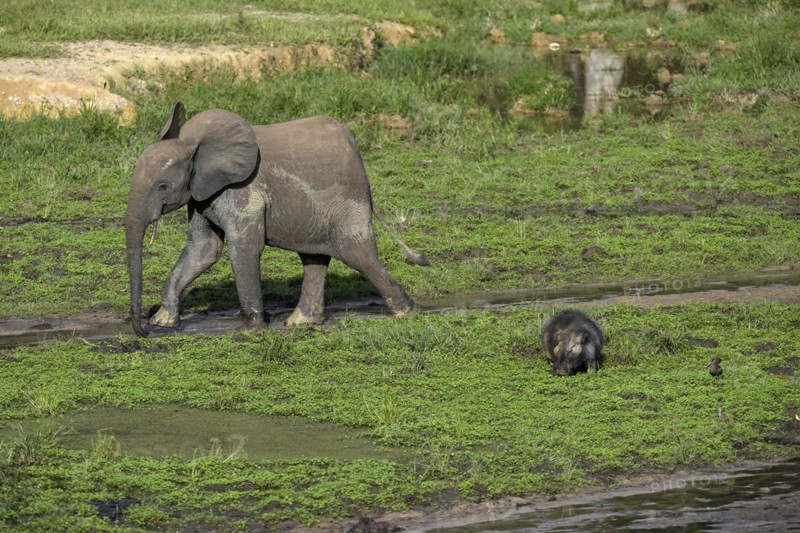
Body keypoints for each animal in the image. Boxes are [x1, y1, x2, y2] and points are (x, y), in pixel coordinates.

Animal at [125, 102, 429, 337]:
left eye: (162, 186)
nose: (143, 333)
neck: (192, 145)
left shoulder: (243, 190)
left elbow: (243, 249)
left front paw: (250, 329)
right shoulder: (201, 194)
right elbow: (203, 250)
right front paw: (163, 322)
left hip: (347, 203)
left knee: (359, 256)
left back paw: (407, 312)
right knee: (315, 259)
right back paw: (300, 323)